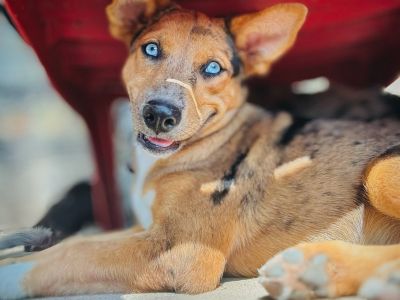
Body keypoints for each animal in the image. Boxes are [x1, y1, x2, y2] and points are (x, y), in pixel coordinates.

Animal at [0, 1, 400, 298]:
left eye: (212, 68)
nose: (160, 115)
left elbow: (70, 253)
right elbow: (82, 241)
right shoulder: (146, 229)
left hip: (378, 171)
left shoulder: (182, 251)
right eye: (151, 48)